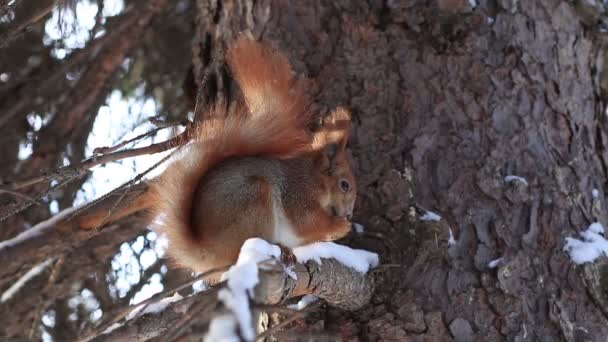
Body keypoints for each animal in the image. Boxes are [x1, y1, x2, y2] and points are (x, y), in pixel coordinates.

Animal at [148, 36, 356, 276]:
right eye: (345, 185)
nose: (349, 215)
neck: (315, 178)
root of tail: (209, 252)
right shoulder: (299, 195)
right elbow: (306, 223)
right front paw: (340, 227)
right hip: (254, 201)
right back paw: (280, 249)